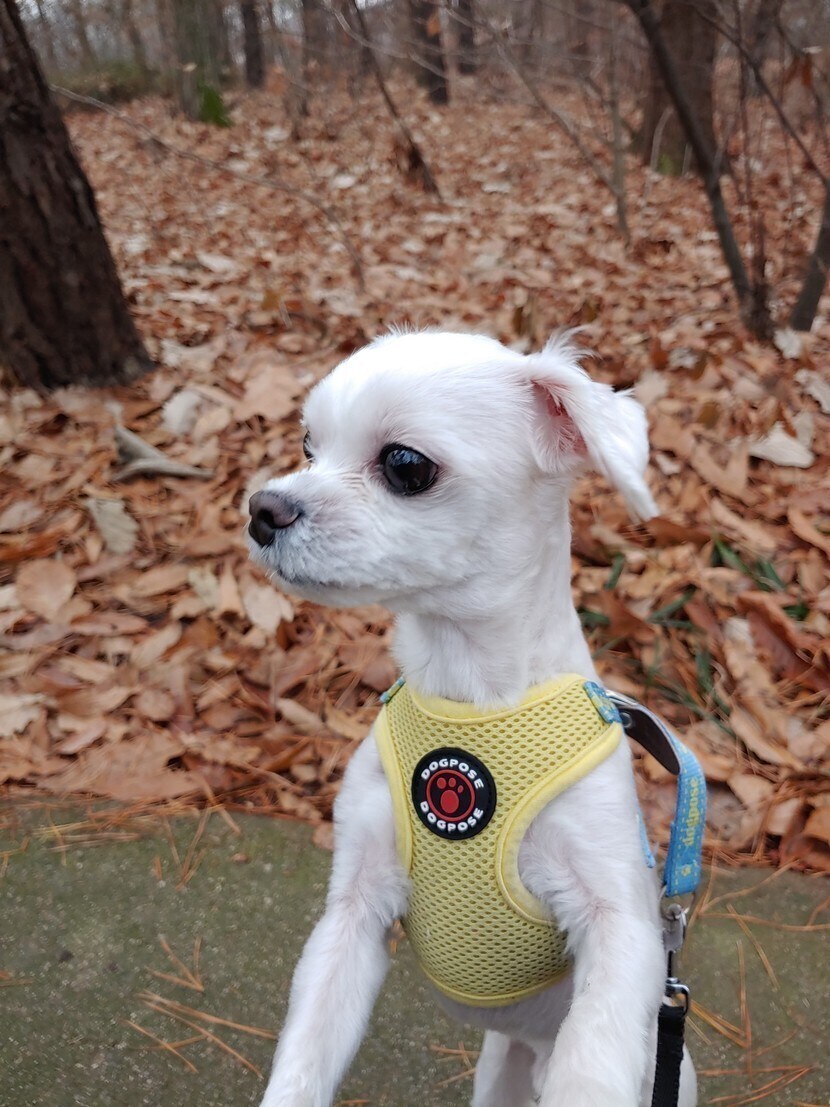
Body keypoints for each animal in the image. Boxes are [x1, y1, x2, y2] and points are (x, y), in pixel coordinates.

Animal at [247, 331, 697, 1107]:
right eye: (309, 445)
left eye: (405, 465)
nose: (261, 508)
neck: (471, 701)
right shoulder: (351, 917)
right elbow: (304, 1058)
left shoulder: (619, 928)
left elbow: (591, 1063)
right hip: (499, 1071)